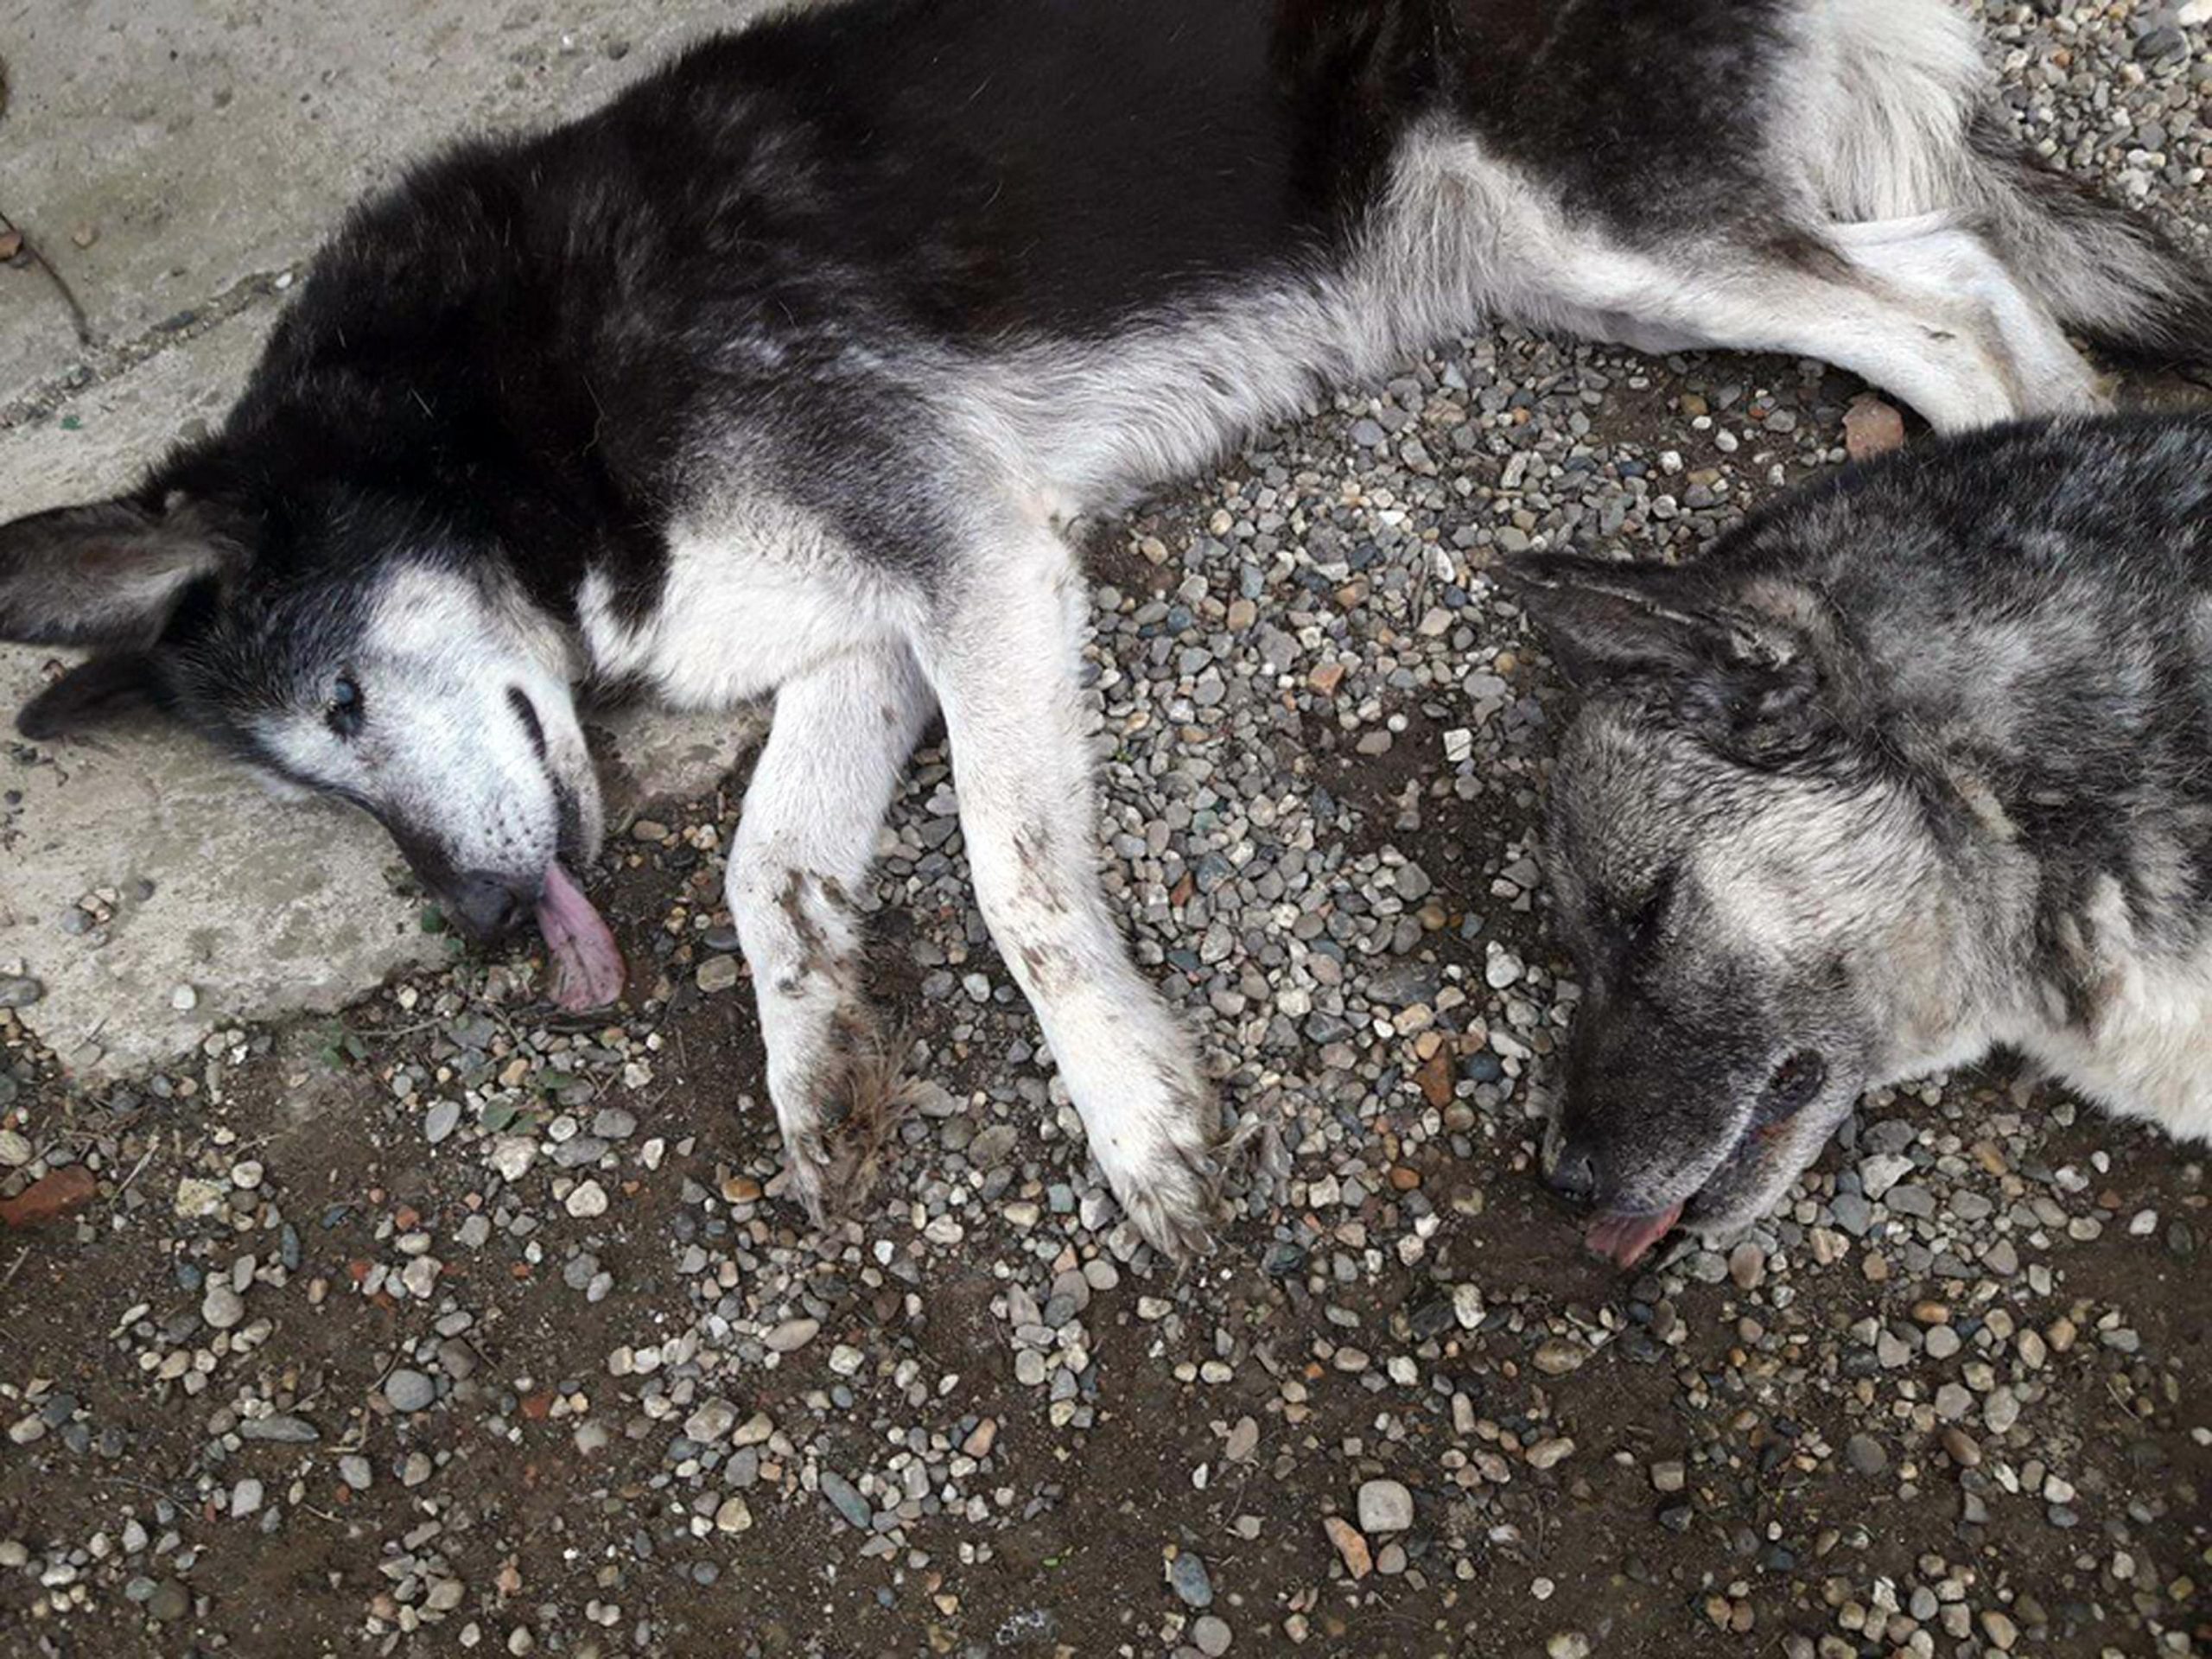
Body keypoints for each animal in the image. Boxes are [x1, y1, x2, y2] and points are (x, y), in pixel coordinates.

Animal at [4, 0, 2212, 1247]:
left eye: (344, 705)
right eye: (315, 774)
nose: (468, 921)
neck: (498, 421)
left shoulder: (976, 554)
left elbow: (1011, 877)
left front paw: (1131, 1114)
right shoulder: (868, 630)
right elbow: (766, 869)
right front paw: (821, 1078)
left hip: (1591, 226)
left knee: (1941, 299)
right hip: (1580, 263)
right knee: (1955, 266)